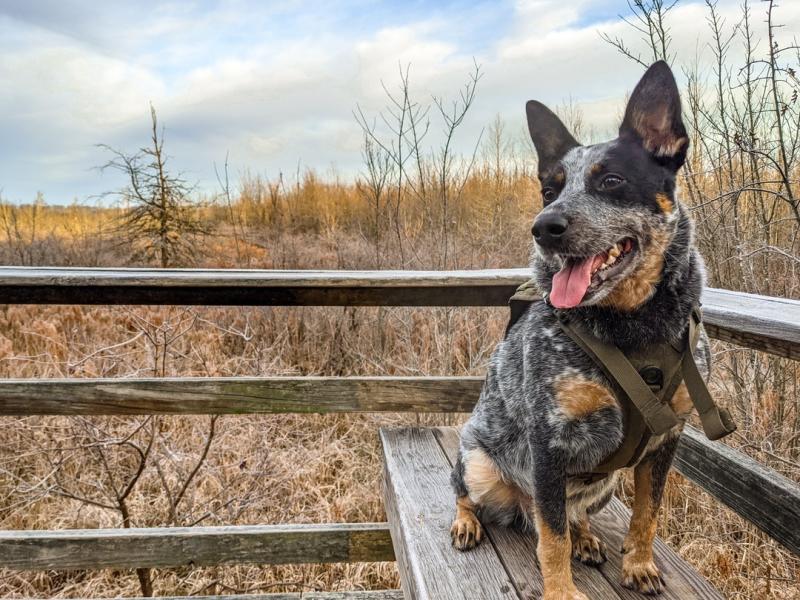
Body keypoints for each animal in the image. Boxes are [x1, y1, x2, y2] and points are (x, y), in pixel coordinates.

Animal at [450, 62, 712, 600]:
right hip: (479, 463)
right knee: (471, 494)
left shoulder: (667, 437)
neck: (633, 327)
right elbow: (550, 539)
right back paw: (467, 522)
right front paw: (561, 589)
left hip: (603, 482)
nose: (543, 226)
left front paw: (638, 564)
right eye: (549, 191)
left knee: (574, 514)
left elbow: (646, 514)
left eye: (611, 180)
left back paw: (588, 537)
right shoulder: (549, 443)